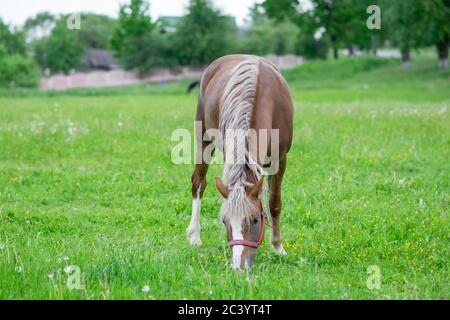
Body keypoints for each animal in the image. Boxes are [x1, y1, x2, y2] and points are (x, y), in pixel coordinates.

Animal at [187, 53, 296, 268]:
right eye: (225, 222)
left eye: (254, 220)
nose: (239, 265)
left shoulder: (281, 159)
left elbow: (274, 203)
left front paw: (278, 248)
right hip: (203, 139)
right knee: (199, 183)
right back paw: (194, 235)